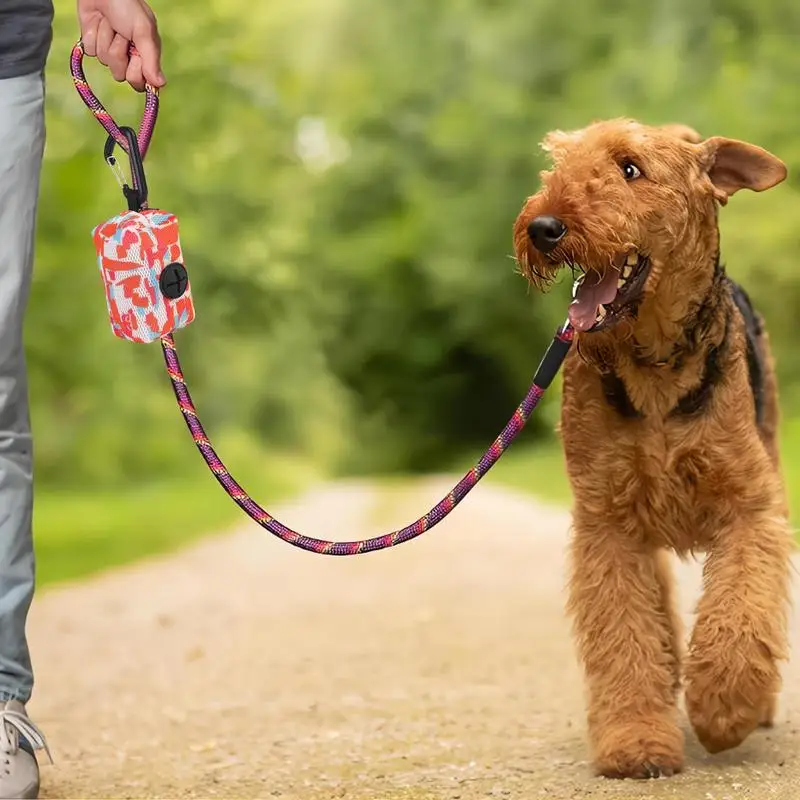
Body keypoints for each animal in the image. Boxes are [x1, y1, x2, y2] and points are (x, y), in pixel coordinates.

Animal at [512, 122, 792, 780]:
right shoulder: (607, 523)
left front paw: (723, 709)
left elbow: (741, 610)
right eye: (558, 162)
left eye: (630, 168)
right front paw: (636, 742)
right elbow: (625, 635)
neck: (656, 364)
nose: (543, 227)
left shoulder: (751, 508)